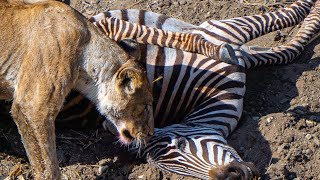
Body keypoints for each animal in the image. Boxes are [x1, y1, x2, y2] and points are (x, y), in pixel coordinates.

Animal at [84, 0, 318, 179]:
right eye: (175, 171)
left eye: (180, 144)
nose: (232, 176)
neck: (217, 93)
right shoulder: (235, 44)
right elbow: (287, 49)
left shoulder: (227, 33)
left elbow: (286, 20)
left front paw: (313, 10)